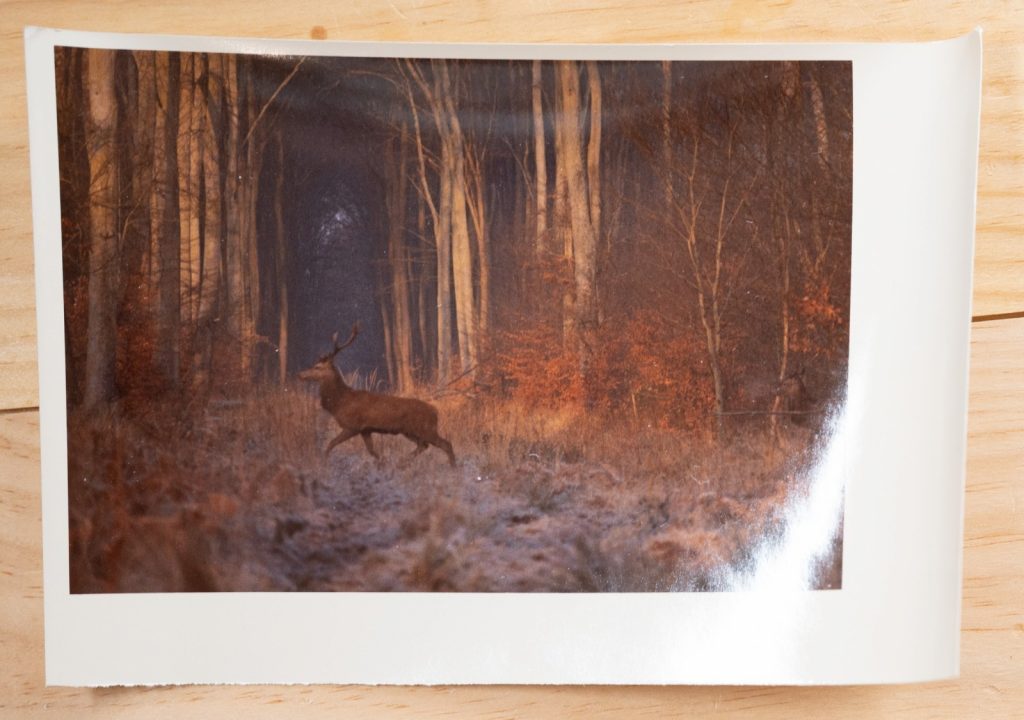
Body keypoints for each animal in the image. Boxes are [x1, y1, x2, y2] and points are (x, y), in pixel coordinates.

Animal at [298, 323, 456, 466]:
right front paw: (383, 463)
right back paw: (403, 462)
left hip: (425, 428)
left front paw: (323, 462)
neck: (340, 402)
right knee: (423, 445)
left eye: (317, 367)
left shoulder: (352, 426)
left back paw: (453, 467)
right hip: (409, 431)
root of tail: (435, 411)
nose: (301, 375)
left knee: (446, 444)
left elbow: (331, 443)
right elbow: (372, 451)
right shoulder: (365, 430)